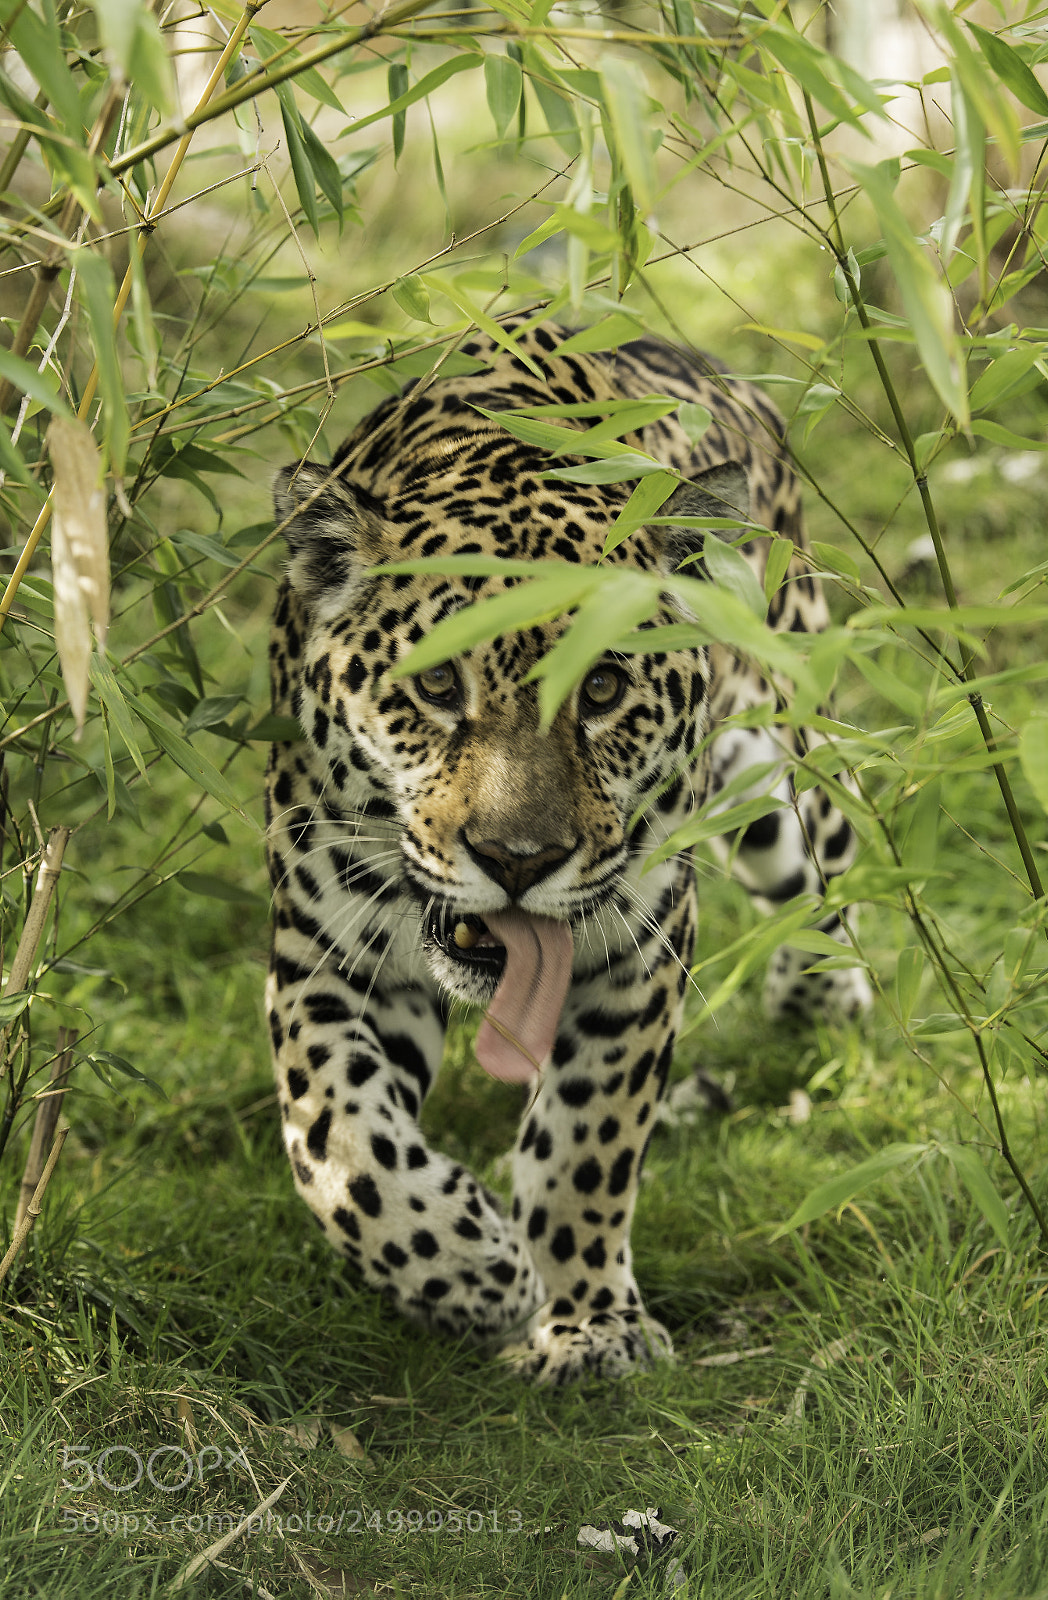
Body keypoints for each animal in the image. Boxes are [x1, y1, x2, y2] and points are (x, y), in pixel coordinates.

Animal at [264, 319, 871, 1384]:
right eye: (435, 689)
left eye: (602, 691)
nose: (517, 859)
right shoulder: (323, 951)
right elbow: (340, 1138)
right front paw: (469, 1268)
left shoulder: (637, 946)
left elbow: (589, 1140)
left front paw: (588, 1323)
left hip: (785, 755)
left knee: (830, 858)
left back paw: (823, 992)